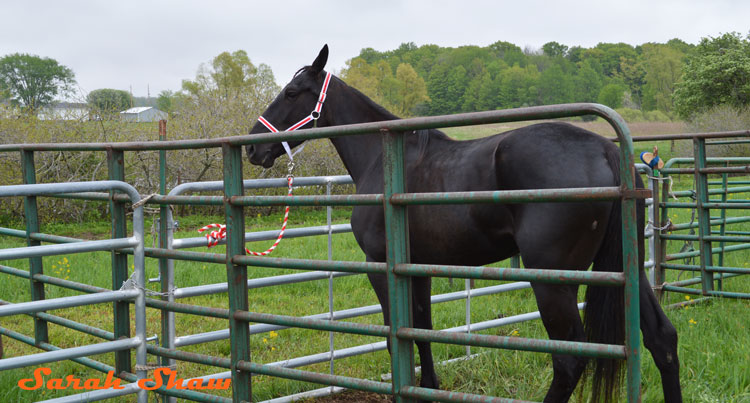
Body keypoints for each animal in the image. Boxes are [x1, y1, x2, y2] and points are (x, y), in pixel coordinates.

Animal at [245, 45, 680, 402]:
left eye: (292, 92)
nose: (252, 147)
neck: (383, 159)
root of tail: (606, 150)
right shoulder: (417, 268)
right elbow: (420, 328)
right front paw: (428, 388)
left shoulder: (381, 267)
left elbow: (395, 333)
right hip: (627, 265)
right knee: (662, 339)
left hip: (553, 282)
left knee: (570, 359)